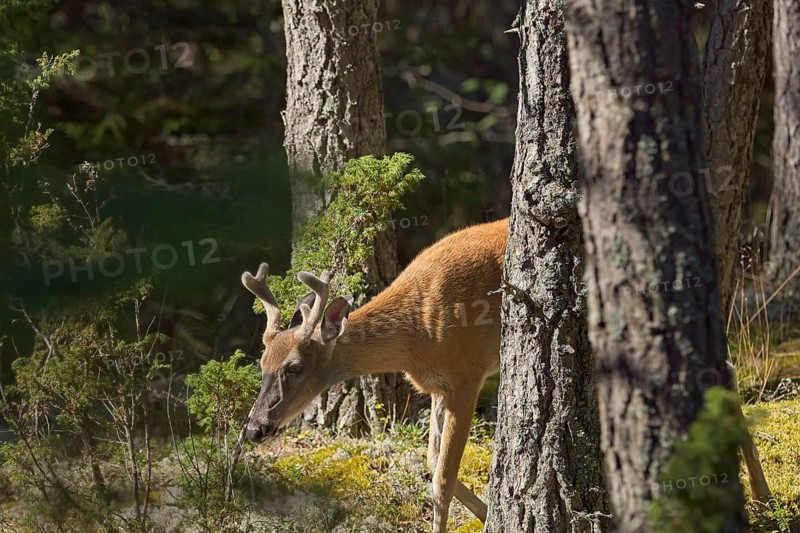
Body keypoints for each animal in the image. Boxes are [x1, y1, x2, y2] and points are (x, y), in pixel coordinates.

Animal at [240, 217, 771, 532]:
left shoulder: (466, 373)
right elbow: (433, 463)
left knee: (723, 369)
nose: (253, 428)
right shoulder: (438, 386)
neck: (414, 333)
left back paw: (763, 498)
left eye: (295, 367)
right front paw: (489, 511)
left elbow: (439, 477)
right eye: (261, 365)